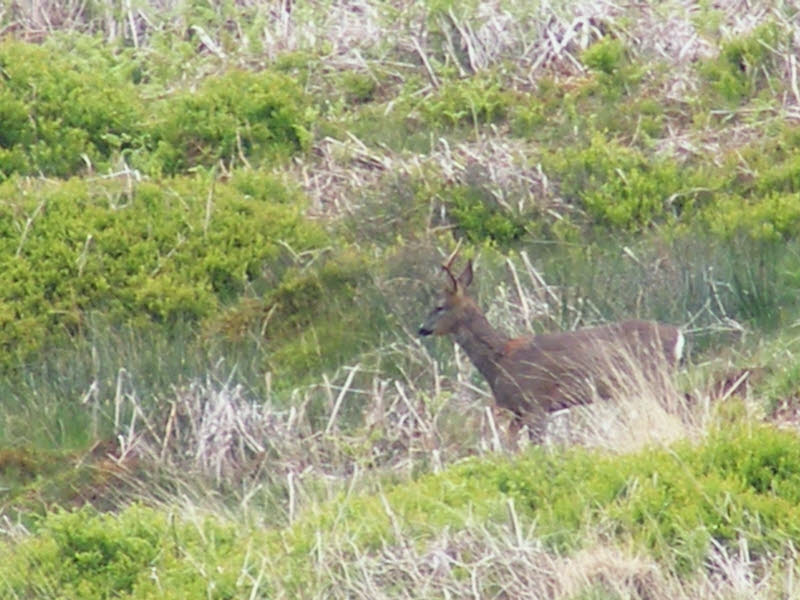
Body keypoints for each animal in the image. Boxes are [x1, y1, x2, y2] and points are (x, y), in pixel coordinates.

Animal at [418, 252, 685, 444]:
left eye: (439, 306)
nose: (422, 329)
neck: (499, 358)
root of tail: (678, 335)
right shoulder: (518, 412)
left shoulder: (535, 403)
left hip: (655, 378)